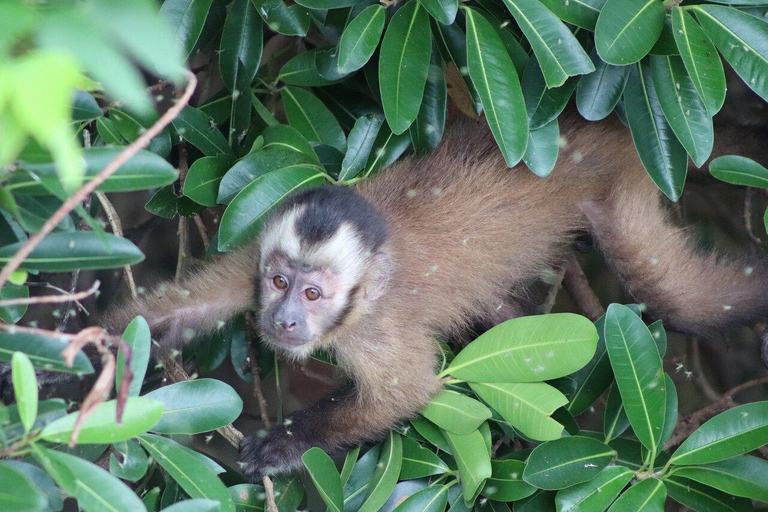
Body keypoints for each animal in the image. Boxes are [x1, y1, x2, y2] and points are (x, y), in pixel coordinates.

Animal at [52, 109, 768, 480]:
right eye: (280, 283)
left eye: (314, 294)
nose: (282, 318)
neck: (365, 291)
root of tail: (592, 133)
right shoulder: (250, 260)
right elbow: (174, 313)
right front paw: (63, 372)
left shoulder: (374, 328)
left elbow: (407, 390)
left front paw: (285, 444)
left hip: (619, 186)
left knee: (676, 299)